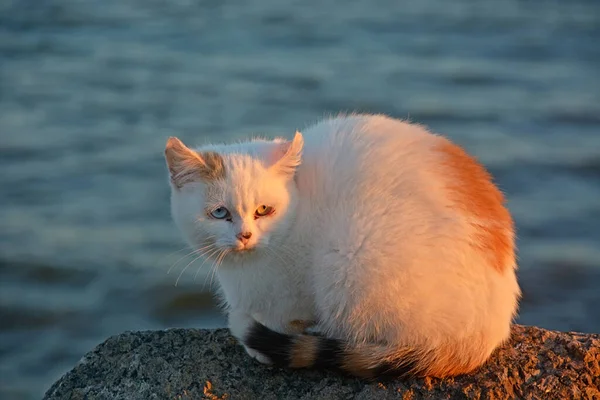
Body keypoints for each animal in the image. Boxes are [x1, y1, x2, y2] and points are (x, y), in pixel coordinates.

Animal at [164, 112, 520, 378]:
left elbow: (282, 318)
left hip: (351, 259)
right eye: (219, 213)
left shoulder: (290, 296)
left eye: (263, 210)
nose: (245, 235)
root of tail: (487, 333)